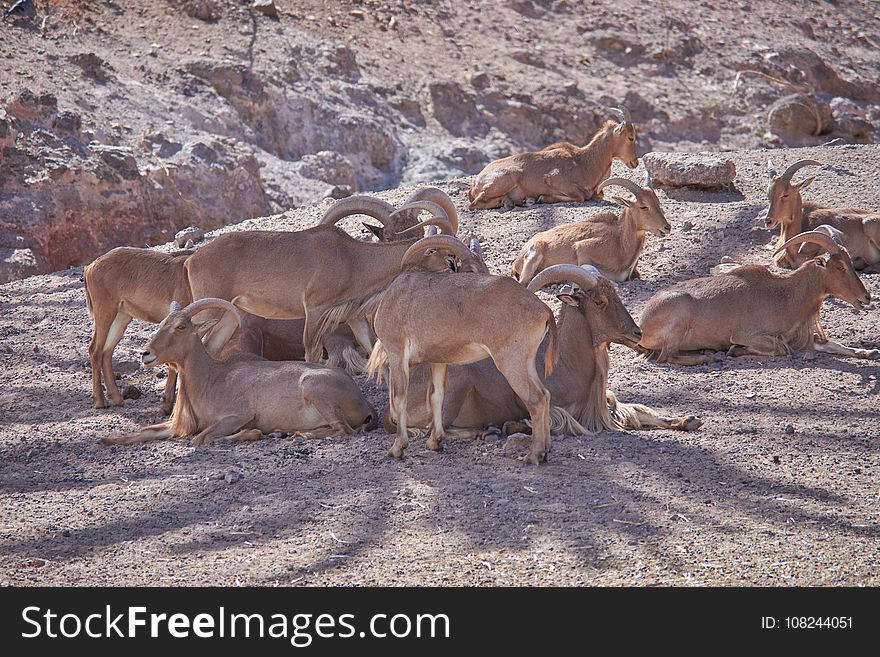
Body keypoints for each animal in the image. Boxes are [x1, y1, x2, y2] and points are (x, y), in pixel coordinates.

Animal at [104, 298, 378, 446]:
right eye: (162, 324)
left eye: (181, 327)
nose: (146, 354)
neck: (210, 378)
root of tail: (364, 402)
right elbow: (143, 432)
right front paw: (107, 439)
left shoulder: (238, 415)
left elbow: (201, 438)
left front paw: (253, 433)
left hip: (315, 389)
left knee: (345, 430)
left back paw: (298, 432)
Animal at [468, 105, 640, 209]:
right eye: (630, 137)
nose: (635, 162)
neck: (583, 162)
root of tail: (476, 183)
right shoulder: (556, 180)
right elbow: (580, 196)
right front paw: (542, 198)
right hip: (508, 177)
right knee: (475, 204)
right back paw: (514, 201)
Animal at [508, 172, 668, 284]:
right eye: (643, 206)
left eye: (657, 203)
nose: (667, 227)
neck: (620, 244)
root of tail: (517, 262)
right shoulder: (582, 249)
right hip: (535, 252)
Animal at [636, 229, 876, 364]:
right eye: (840, 267)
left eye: (850, 263)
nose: (866, 297)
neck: (788, 296)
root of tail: (643, 323)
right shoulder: (747, 334)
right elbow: (779, 348)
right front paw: (734, 350)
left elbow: (835, 345)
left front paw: (868, 351)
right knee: (666, 356)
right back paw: (706, 357)